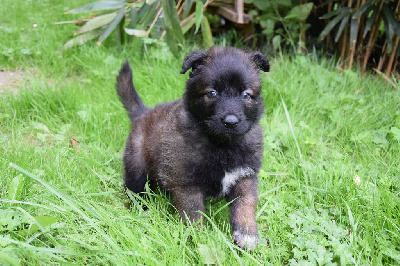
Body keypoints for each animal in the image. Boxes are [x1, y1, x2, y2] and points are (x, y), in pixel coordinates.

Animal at [117, 46, 270, 250]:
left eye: (246, 95)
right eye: (212, 93)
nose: (231, 122)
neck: (222, 145)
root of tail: (143, 113)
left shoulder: (245, 176)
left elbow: (245, 205)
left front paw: (247, 233)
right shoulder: (187, 184)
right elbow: (194, 216)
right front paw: (200, 240)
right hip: (136, 168)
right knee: (135, 190)